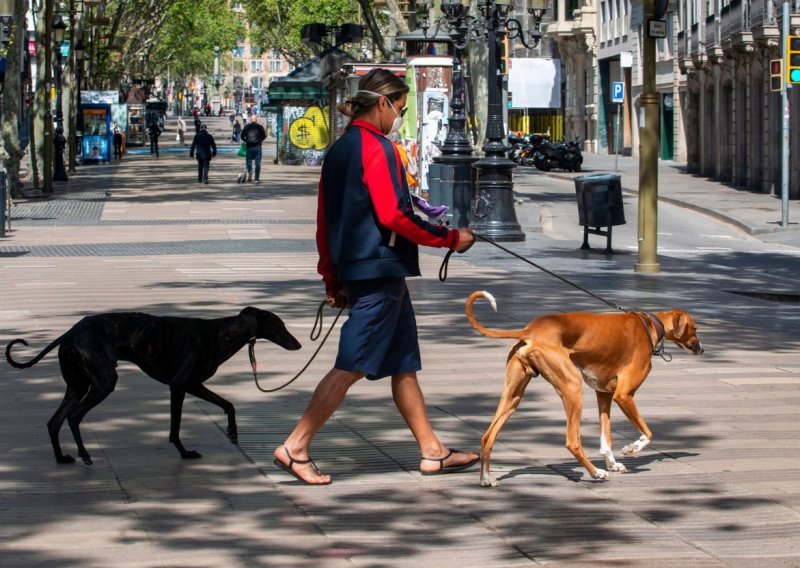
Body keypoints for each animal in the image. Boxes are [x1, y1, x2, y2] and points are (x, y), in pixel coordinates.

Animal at [5, 308, 300, 464]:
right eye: (279, 325)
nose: (298, 344)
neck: (218, 333)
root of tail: (70, 332)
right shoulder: (179, 385)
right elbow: (175, 427)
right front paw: (184, 452)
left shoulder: (194, 385)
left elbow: (228, 404)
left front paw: (233, 432)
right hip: (103, 382)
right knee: (74, 417)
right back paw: (85, 454)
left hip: (77, 385)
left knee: (54, 421)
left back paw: (63, 458)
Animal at [466, 290, 704, 486]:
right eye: (694, 329)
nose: (702, 349)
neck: (649, 325)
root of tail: (530, 330)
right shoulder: (624, 395)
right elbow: (648, 433)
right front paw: (631, 448)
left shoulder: (605, 394)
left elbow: (606, 438)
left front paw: (612, 463)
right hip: (573, 387)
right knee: (572, 442)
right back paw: (596, 473)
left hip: (513, 397)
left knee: (487, 436)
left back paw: (486, 478)